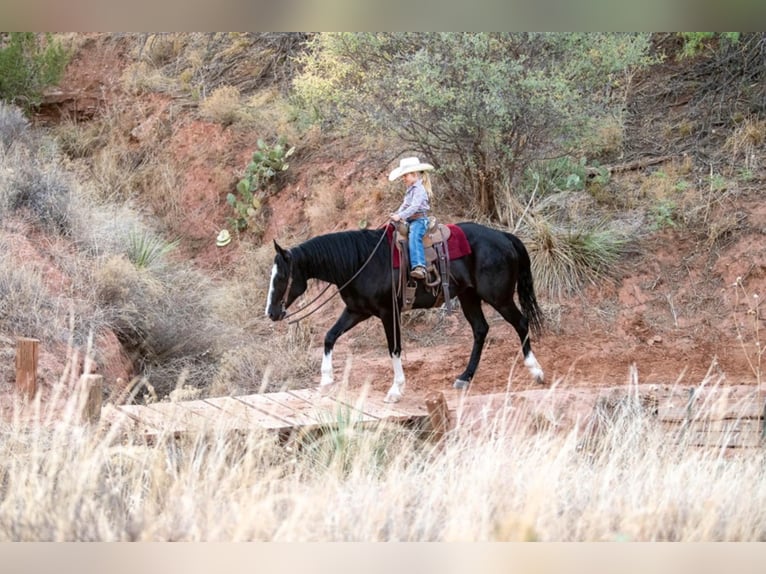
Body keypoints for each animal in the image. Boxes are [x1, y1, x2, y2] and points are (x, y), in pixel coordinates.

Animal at [268, 223, 544, 402]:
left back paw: (536, 370)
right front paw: (325, 379)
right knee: (480, 329)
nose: (271, 313)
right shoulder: (357, 310)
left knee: (521, 322)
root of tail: (504, 236)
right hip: (469, 297)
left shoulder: (388, 313)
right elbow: (330, 336)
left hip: (499, 298)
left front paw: (396, 389)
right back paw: (465, 377)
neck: (360, 262)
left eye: (281, 277)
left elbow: (394, 348)